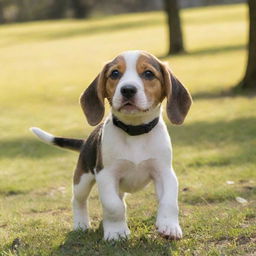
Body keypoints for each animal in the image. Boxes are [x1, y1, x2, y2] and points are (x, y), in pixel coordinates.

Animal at [30, 49, 191, 240]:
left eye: (148, 74)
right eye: (115, 73)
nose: (127, 90)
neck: (134, 131)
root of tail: (85, 142)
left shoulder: (165, 172)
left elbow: (169, 201)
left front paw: (169, 226)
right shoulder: (106, 174)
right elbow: (113, 206)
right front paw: (116, 232)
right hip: (83, 178)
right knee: (79, 200)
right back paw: (81, 224)